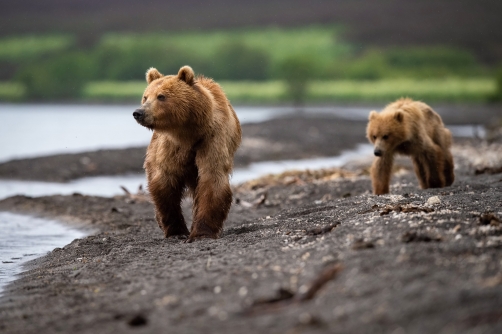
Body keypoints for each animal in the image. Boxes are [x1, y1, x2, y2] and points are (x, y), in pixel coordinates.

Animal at [132, 66, 242, 243]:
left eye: (161, 96)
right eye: (145, 96)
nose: (138, 112)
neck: (189, 133)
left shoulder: (212, 139)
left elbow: (212, 178)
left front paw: (202, 233)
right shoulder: (170, 145)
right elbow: (165, 182)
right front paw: (176, 230)